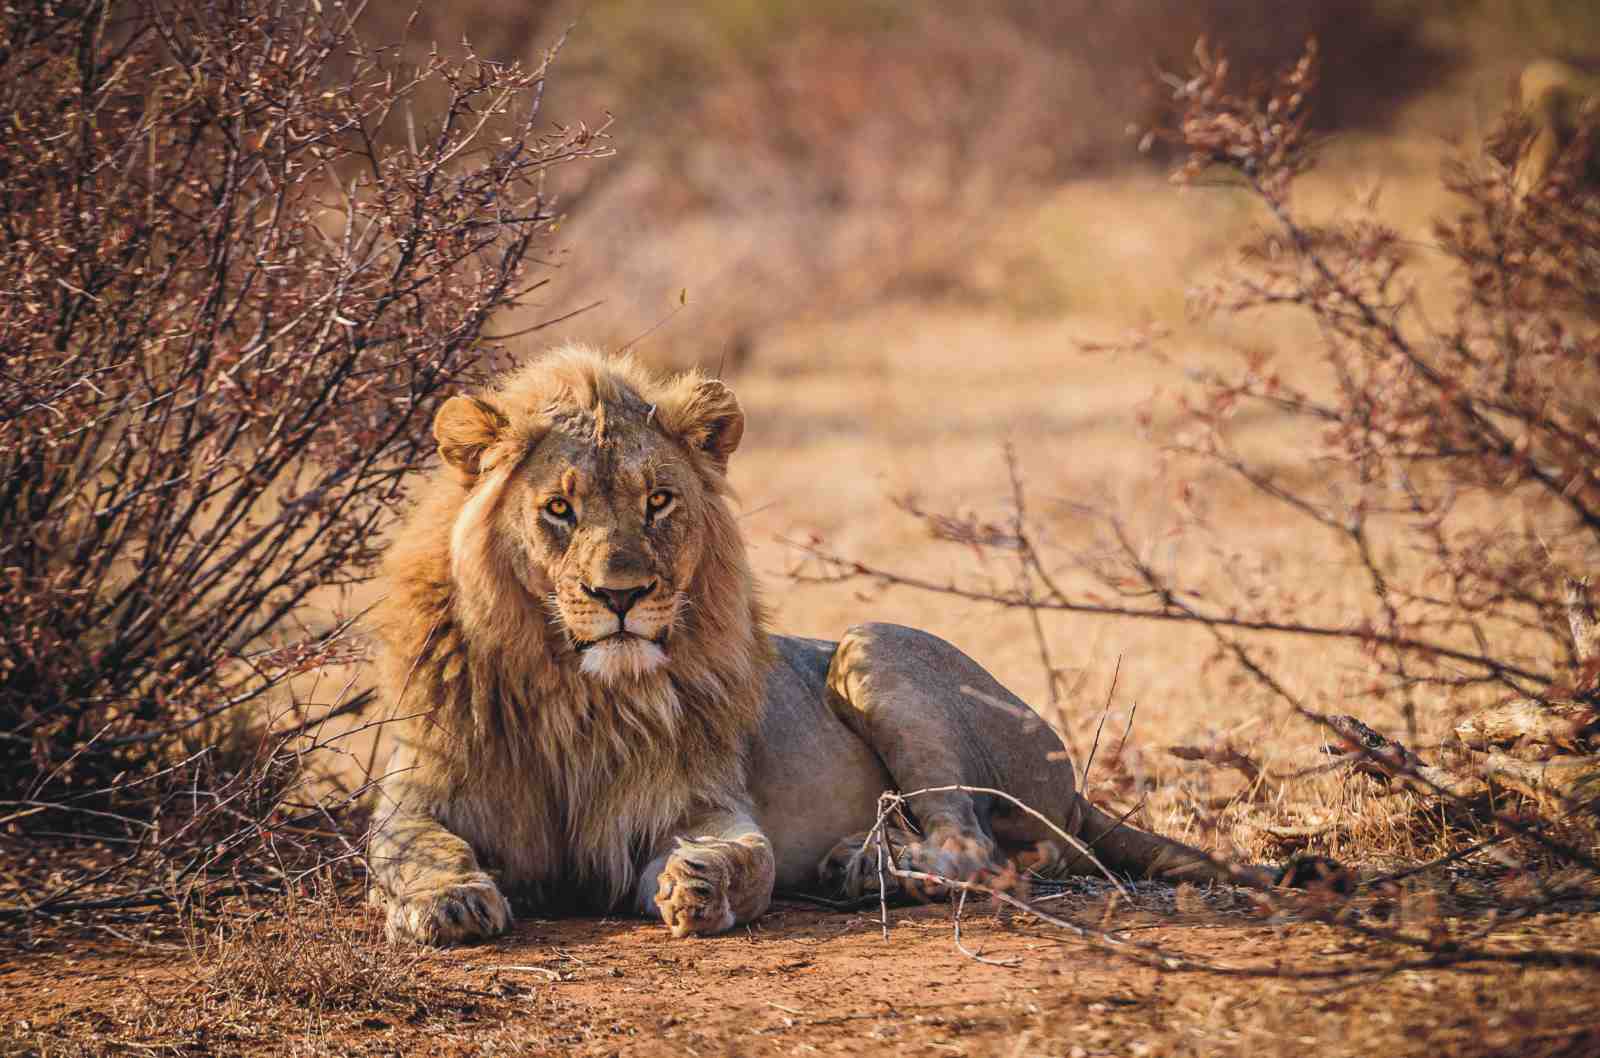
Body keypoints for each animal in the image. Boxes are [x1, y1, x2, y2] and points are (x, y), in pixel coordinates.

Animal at [367, 346, 1284, 945]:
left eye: (659, 500)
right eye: (558, 509)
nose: (620, 596)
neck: (575, 691)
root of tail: (1074, 782)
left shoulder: (700, 802)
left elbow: (750, 858)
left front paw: (701, 882)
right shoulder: (417, 794)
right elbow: (413, 847)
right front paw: (450, 903)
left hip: (871, 648)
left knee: (977, 849)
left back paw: (865, 867)